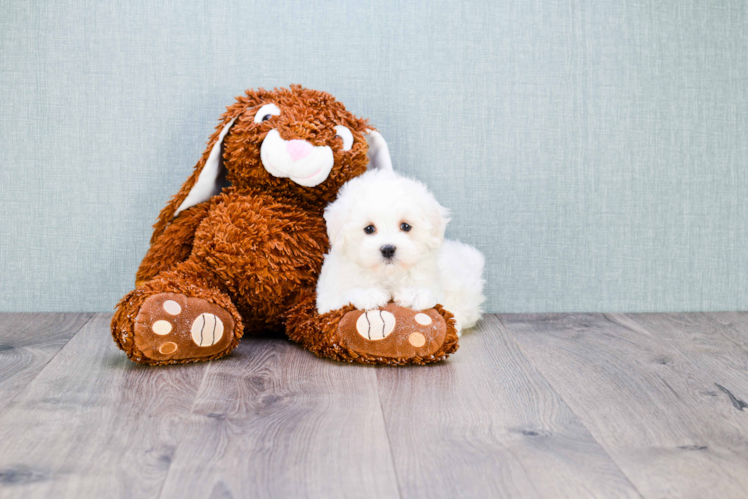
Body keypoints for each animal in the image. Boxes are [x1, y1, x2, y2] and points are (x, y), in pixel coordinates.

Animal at [316, 169, 486, 336]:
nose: (388, 249)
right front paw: (368, 294)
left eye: (405, 226)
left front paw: (415, 293)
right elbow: (342, 296)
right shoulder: (327, 299)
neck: (388, 275)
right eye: (369, 228)